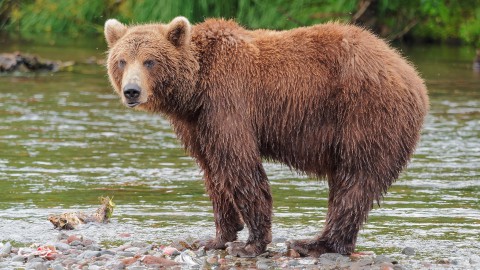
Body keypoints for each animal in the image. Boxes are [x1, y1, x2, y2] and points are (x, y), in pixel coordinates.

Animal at [104, 16, 428, 258]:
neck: (194, 90)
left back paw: (314, 243)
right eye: (121, 60)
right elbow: (213, 172)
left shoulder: (228, 102)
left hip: (366, 115)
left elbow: (239, 166)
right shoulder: (197, 124)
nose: (132, 91)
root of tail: (411, 74)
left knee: (355, 180)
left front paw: (250, 244)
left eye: (150, 61)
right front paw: (216, 237)